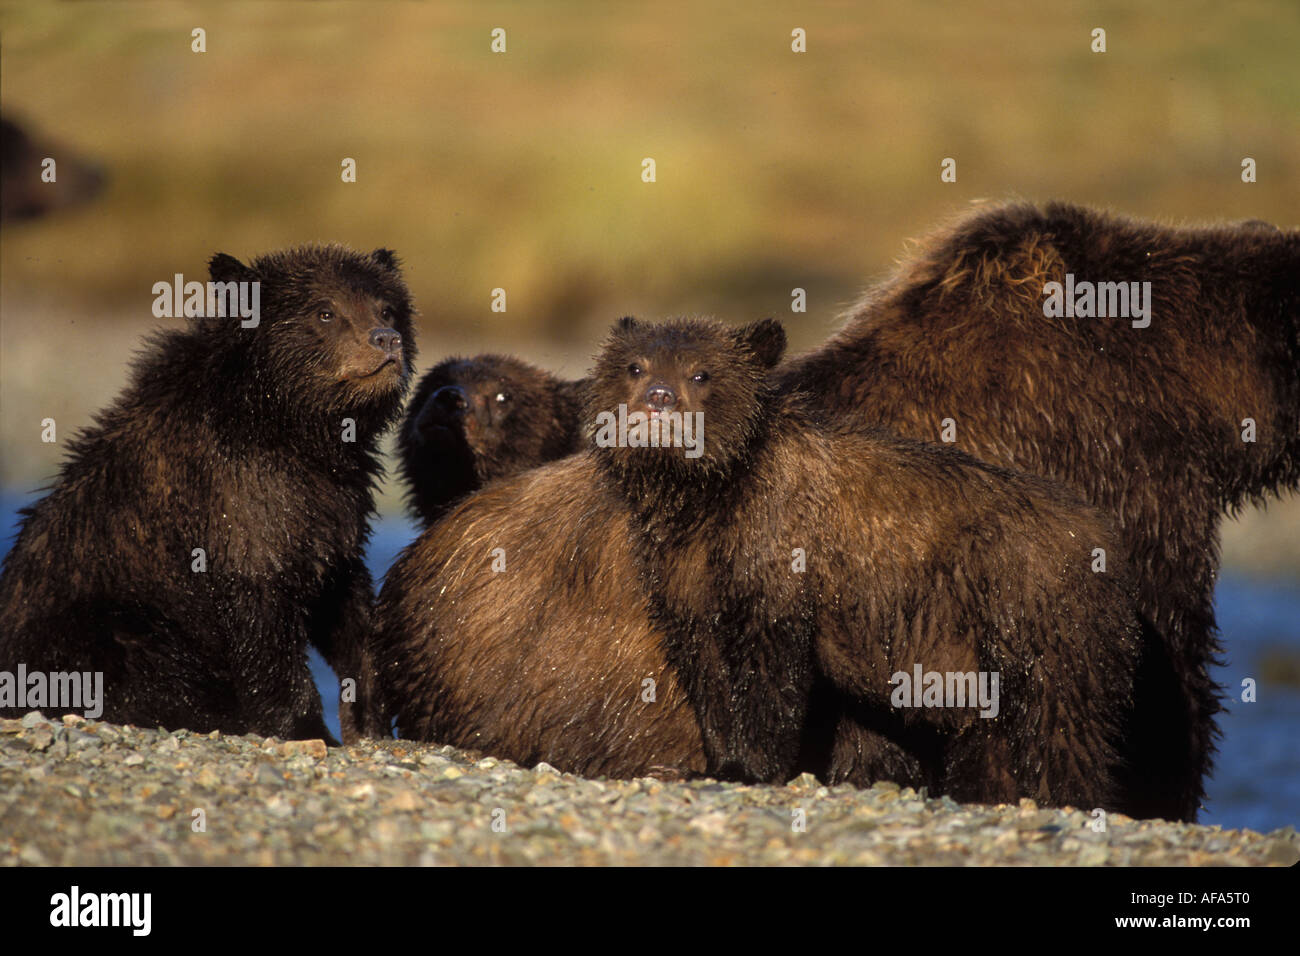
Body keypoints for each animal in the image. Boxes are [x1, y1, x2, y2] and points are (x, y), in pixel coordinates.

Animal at [0, 245, 416, 744]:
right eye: (326, 311)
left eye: (386, 308)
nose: (386, 340)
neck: (290, 430)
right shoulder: (233, 499)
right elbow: (261, 620)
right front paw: (305, 725)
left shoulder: (331, 507)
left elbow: (346, 605)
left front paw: (370, 720)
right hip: (93, 620)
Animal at [586, 315, 1142, 809]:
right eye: (634, 366)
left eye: (701, 373)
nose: (659, 397)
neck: (705, 495)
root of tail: (1105, 542)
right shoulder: (684, 571)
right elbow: (705, 666)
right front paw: (711, 762)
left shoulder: (778, 551)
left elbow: (770, 668)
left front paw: (751, 766)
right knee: (991, 743)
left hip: (1034, 612)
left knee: (1059, 725)